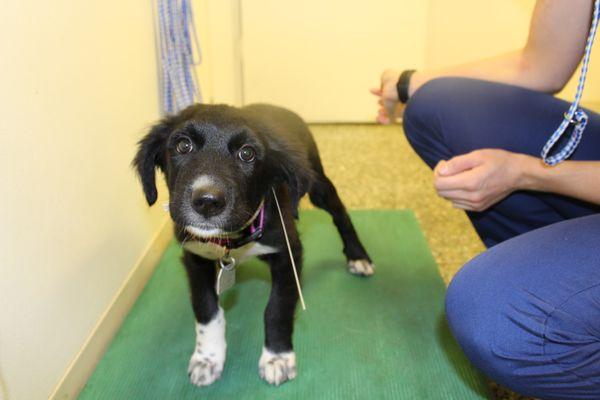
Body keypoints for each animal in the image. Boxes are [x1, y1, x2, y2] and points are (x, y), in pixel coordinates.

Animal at [134, 103, 372, 388]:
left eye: (247, 153)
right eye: (183, 145)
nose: (207, 202)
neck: (233, 238)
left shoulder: (288, 255)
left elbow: (277, 308)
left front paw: (277, 357)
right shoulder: (195, 257)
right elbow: (207, 310)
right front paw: (208, 358)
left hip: (318, 184)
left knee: (341, 214)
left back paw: (358, 256)